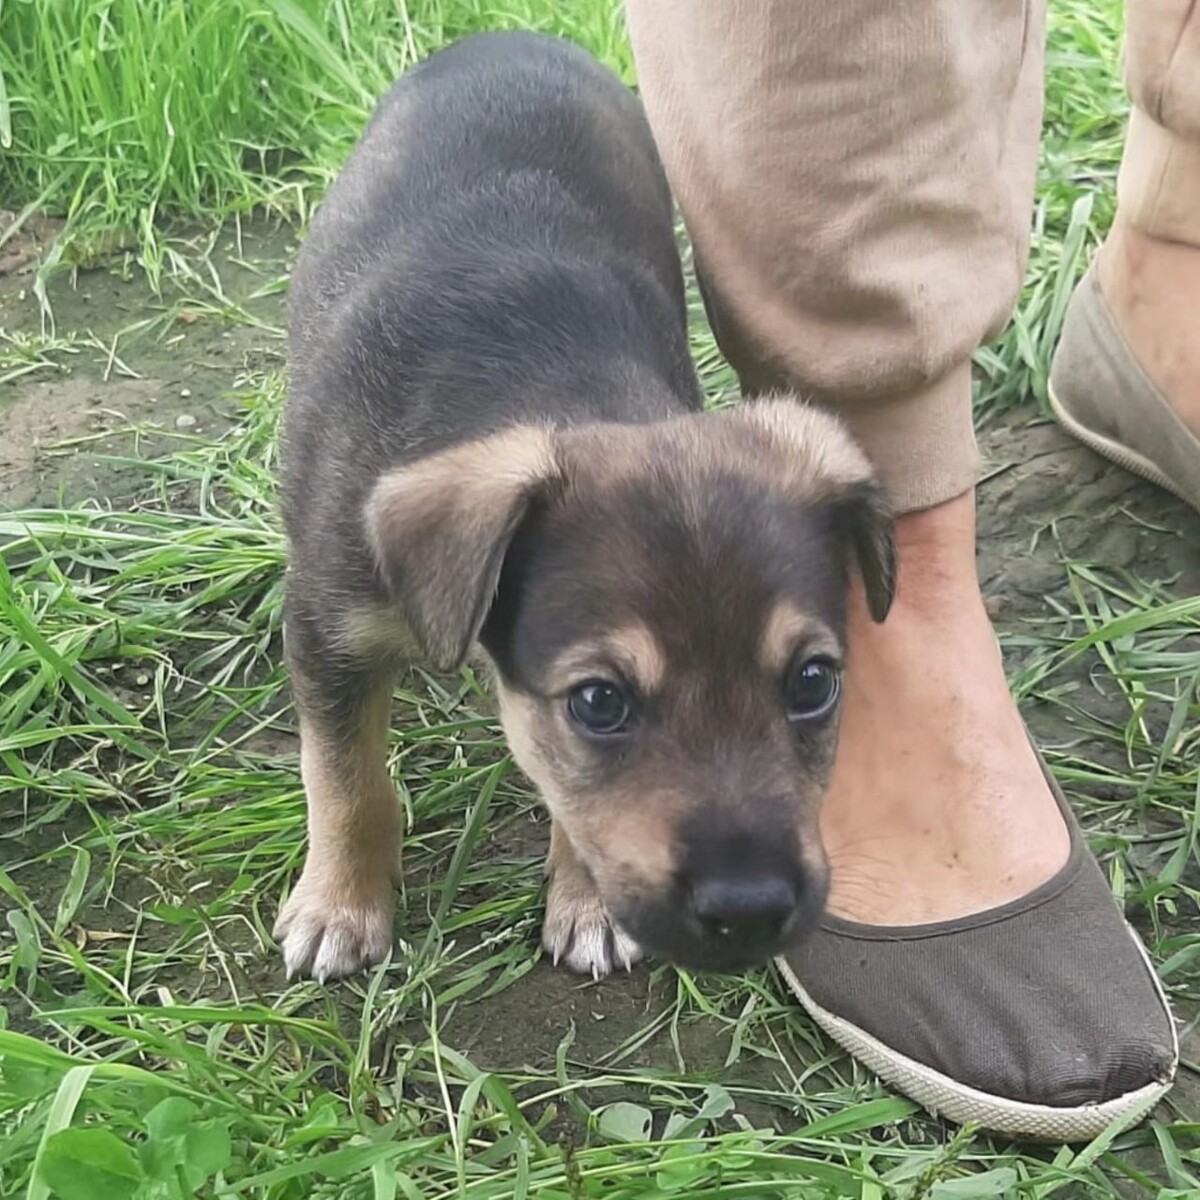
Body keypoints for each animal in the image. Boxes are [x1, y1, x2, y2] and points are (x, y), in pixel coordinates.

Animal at [276, 31, 895, 984]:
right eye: (600, 703)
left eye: (813, 684)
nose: (751, 913)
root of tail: (511, 34)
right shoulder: (327, 626)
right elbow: (344, 778)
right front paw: (340, 906)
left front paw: (588, 904)